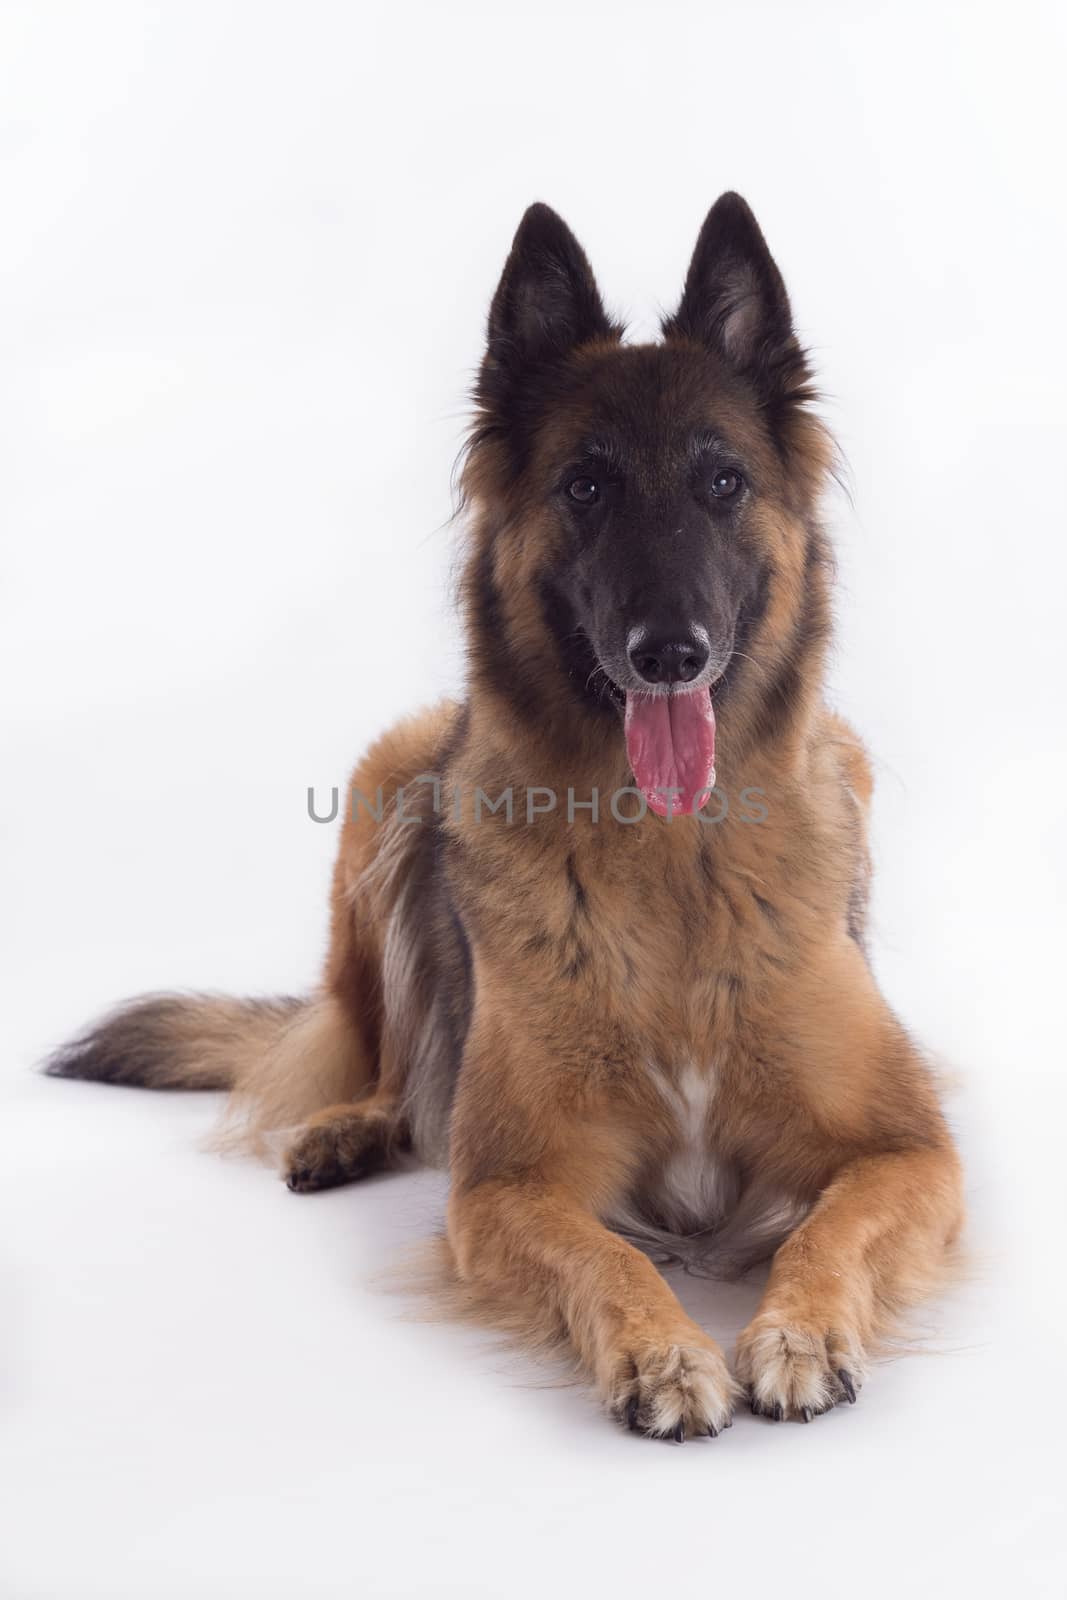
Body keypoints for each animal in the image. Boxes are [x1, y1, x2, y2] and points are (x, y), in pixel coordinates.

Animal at [47, 196, 966, 1440]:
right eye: (585, 488)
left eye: (722, 483)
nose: (667, 653)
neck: (672, 863)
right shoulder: (504, 1185)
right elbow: (604, 1256)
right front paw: (662, 1352)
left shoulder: (911, 1151)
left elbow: (831, 1226)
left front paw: (797, 1329)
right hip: (387, 782)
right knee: (381, 1051)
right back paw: (346, 1126)